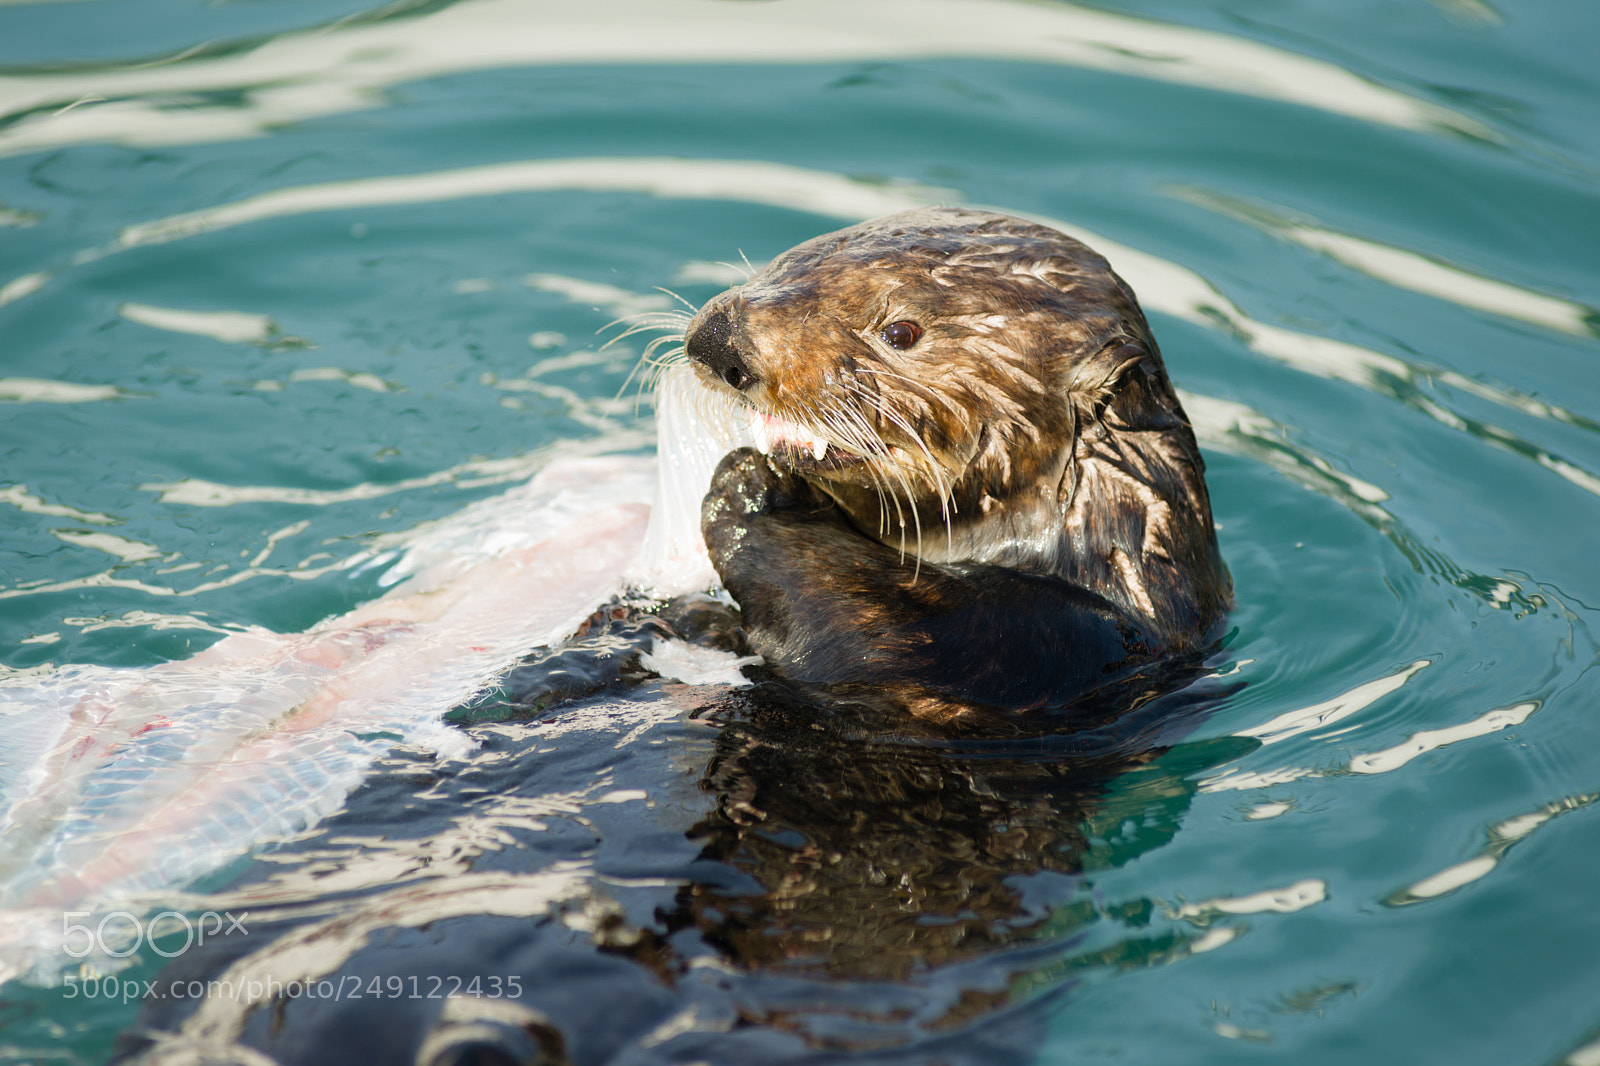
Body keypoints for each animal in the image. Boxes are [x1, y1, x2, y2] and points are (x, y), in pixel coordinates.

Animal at [682, 207, 1231, 720]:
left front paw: (758, 492)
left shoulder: (1033, 649)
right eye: (785, 261)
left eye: (900, 333)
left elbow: (872, 631)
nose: (717, 338)